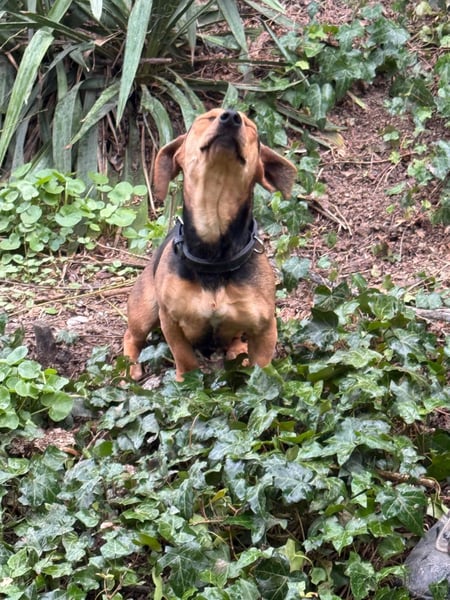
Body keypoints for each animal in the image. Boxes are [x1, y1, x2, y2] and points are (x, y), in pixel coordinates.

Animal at [123, 108, 297, 381]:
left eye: (250, 127)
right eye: (206, 118)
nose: (231, 117)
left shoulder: (265, 327)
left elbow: (262, 367)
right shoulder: (170, 320)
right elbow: (184, 357)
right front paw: (186, 381)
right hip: (145, 309)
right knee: (132, 336)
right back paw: (129, 367)